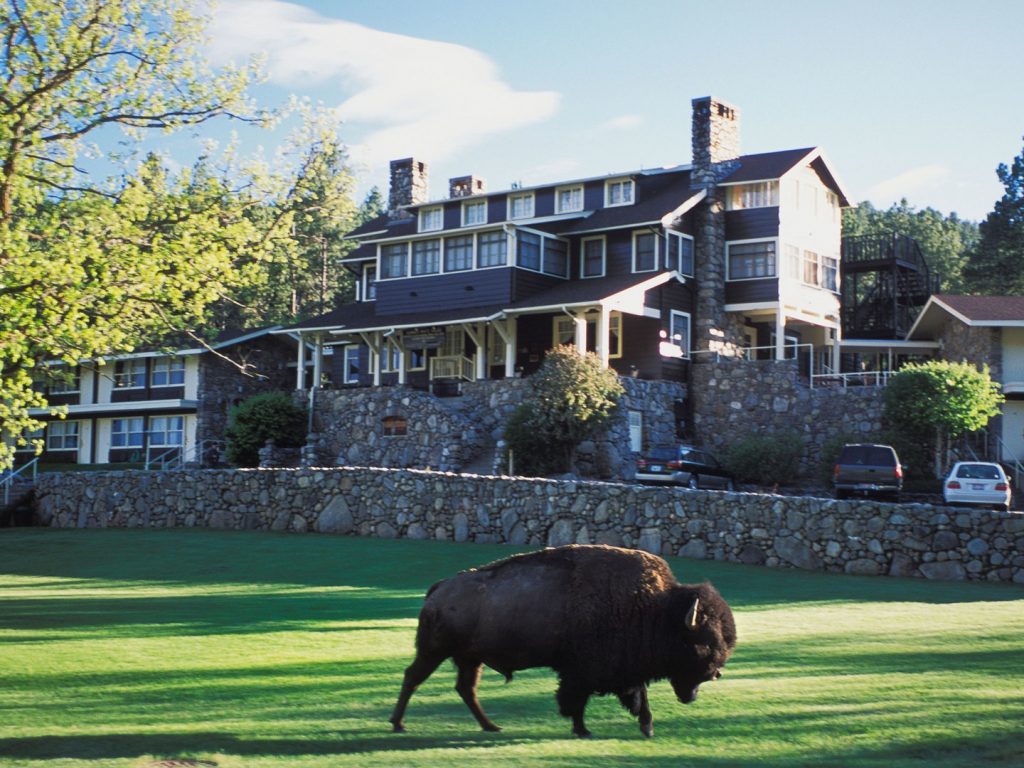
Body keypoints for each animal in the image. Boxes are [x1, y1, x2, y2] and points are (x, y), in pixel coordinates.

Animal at [387, 544, 733, 737]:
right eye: (704, 641)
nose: (715, 673)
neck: (656, 608)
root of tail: (439, 588)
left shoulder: (625, 669)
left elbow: (638, 697)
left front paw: (646, 727)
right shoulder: (581, 672)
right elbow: (577, 700)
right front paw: (583, 730)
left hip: (470, 659)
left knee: (465, 689)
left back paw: (491, 726)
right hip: (434, 652)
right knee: (413, 678)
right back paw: (398, 724)